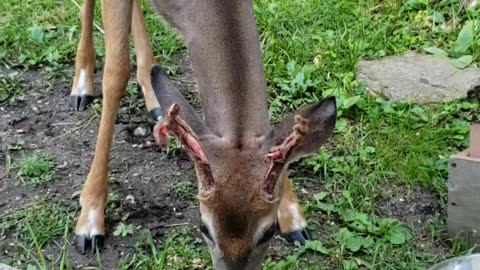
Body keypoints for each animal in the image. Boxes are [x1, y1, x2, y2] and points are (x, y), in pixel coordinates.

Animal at [71, 0, 336, 268]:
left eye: (269, 231)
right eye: (204, 227)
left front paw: (293, 216)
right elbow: (116, 74)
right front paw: (90, 219)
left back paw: (153, 95)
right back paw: (82, 87)